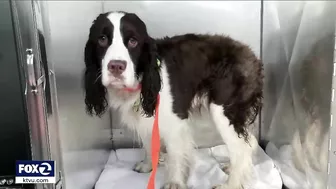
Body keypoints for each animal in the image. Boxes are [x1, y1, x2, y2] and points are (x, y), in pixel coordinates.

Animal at [82, 10, 264, 189]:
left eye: (133, 41)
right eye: (102, 39)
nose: (116, 66)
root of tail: (252, 57)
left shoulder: (175, 122)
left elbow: (176, 154)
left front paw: (174, 182)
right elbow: (148, 142)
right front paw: (148, 165)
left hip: (223, 110)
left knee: (240, 149)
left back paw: (230, 184)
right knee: (249, 141)